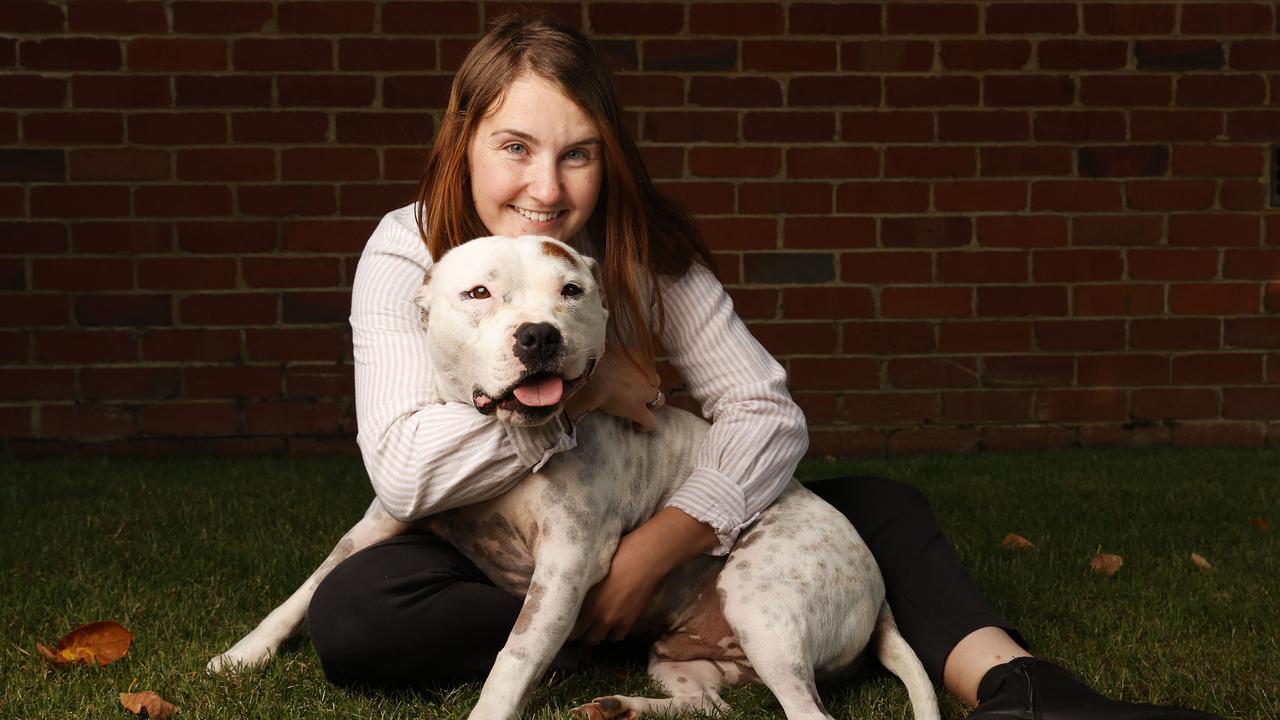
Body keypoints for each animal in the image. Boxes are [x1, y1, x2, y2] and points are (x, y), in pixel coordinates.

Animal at [209, 235, 942, 717]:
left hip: (762, 608)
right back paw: (619, 706)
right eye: (479, 292)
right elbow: (307, 588)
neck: (513, 440)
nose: (538, 335)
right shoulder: (385, 514)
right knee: (712, 707)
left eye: (572, 292)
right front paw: (241, 656)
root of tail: (877, 588)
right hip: (681, 656)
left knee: (804, 713)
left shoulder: (564, 566)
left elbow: (512, 659)